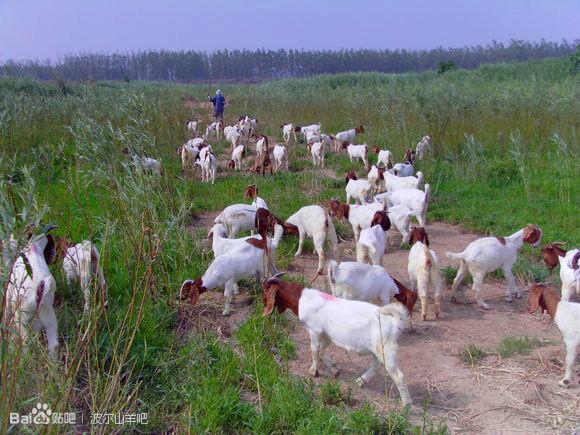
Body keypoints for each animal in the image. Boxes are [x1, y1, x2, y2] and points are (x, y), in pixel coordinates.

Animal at [262, 278, 412, 408]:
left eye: (265, 289)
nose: (262, 303)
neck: (302, 298)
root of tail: (396, 321)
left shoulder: (314, 330)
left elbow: (314, 349)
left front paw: (313, 371)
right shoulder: (326, 334)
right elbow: (321, 351)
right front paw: (335, 370)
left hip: (385, 348)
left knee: (398, 375)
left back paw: (405, 405)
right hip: (377, 348)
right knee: (376, 365)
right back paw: (359, 381)